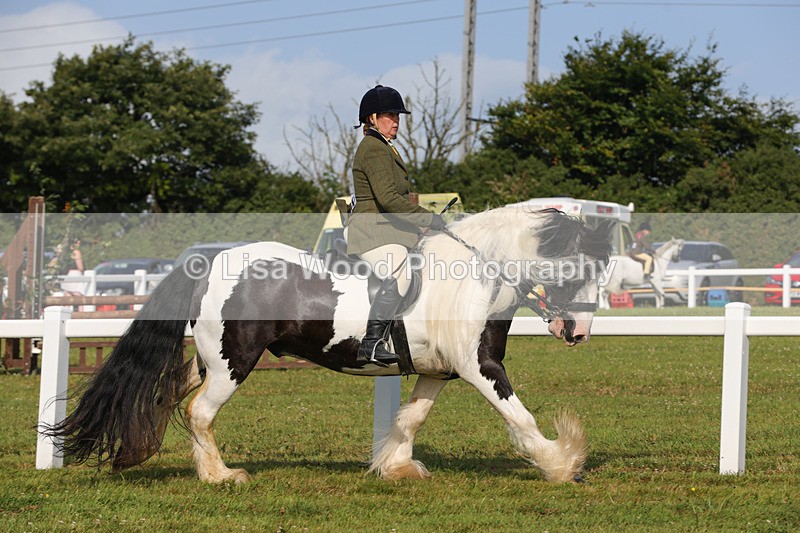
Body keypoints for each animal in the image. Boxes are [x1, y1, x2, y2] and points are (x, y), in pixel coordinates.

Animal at [42, 207, 613, 484]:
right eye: (581, 268)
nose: (579, 333)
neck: (477, 273)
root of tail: (208, 261)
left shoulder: (439, 370)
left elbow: (410, 419)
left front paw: (394, 467)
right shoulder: (480, 367)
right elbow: (522, 418)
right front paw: (563, 463)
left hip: (209, 359)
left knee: (170, 392)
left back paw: (150, 453)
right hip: (232, 363)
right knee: (200, 412)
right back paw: (222, 477)